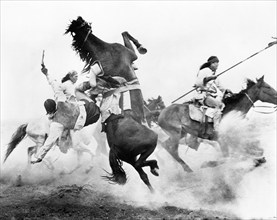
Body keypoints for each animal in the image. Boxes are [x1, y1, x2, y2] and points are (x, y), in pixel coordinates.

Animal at [64, 16, 158, 191]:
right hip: (148, 141)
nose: (80, 20)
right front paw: (141, 47)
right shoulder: (129, 53)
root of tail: (114, 147)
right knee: (141, 164)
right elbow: (125, 33)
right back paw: (155, 168)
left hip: (129, 156)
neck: (104, 51)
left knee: (141, 172)